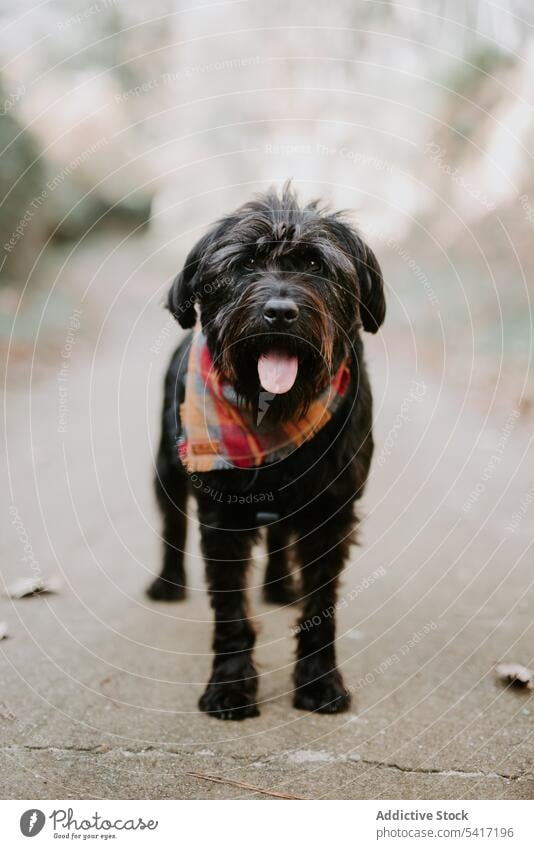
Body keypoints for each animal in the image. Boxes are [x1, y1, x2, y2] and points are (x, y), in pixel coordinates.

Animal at [149, 182, 388, 720]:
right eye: (244, 264)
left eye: (317, 265)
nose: (279, 311)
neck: (272, 413)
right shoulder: (221, 517)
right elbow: (230, 611)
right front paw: (230, 686)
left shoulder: (330, 512)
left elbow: (321, 606)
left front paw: (320, 681)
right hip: (166, 466)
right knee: (171, 522)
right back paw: (168, 582)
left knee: (281, 537)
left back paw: (281, 586)